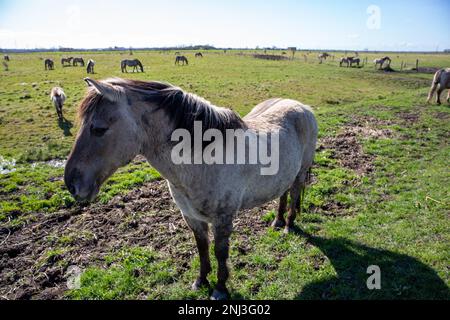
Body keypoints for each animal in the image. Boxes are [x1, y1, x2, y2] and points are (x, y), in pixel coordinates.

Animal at [65, 77, 318, 300]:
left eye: (98, 129)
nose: (72, 184)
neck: (203, 159)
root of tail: (301, 106)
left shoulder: (223, 219)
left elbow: (220, 252)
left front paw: (220, 288)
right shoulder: (191, 216)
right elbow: (202, 248)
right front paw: (201, 281)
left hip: (300, 171)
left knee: (294, 192)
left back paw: (288, 225)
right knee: (283, 192)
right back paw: (277, 222)